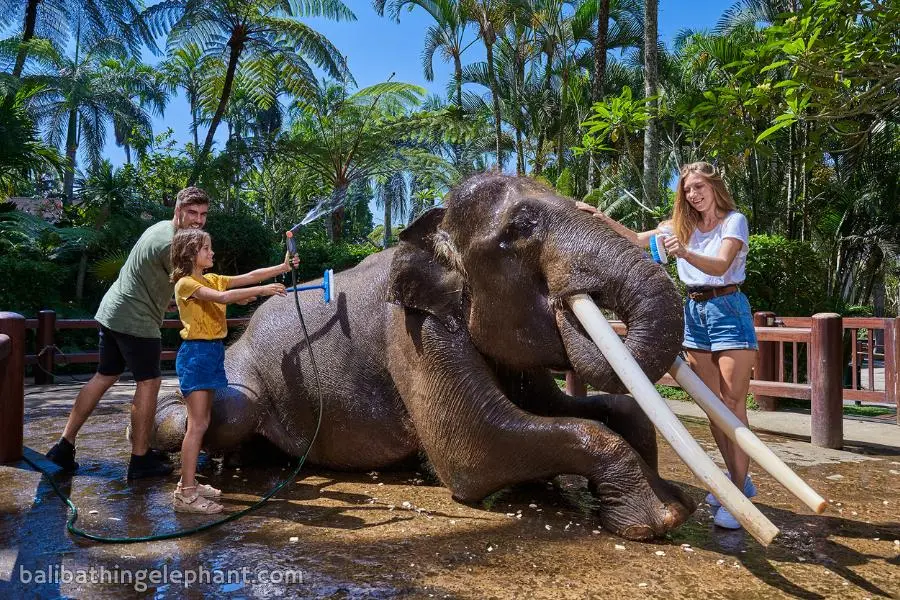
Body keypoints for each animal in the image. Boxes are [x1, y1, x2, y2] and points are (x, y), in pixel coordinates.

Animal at [152, 173, 696, 540]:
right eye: (519, 229)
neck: (429, 229)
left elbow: (583, 409)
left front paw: (675, 500)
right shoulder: (414, 333)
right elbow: (475, 451)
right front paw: (657, 519)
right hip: (239, 379)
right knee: (227, 412)